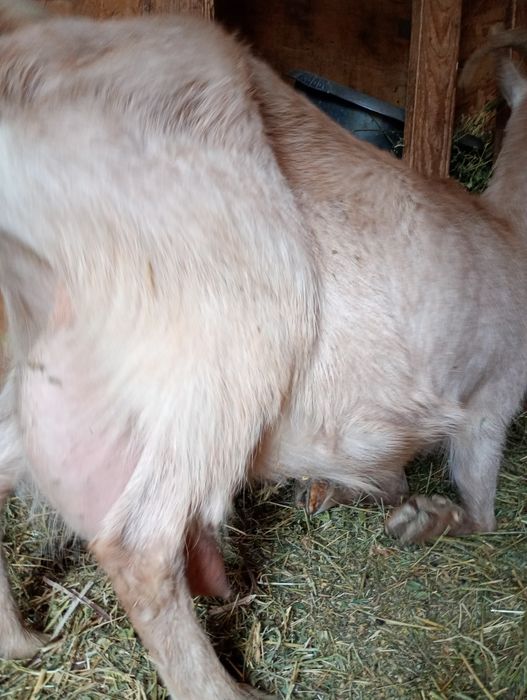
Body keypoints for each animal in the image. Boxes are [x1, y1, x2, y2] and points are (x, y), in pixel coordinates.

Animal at [0, 2, 525, 697]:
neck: (509, 225)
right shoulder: (492, 401)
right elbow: (481, 507)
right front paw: (425, 518)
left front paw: (339, 496)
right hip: (227, 350)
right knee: (140, 544)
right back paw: (226, 688)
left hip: (48, 371)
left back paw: (21, 641)